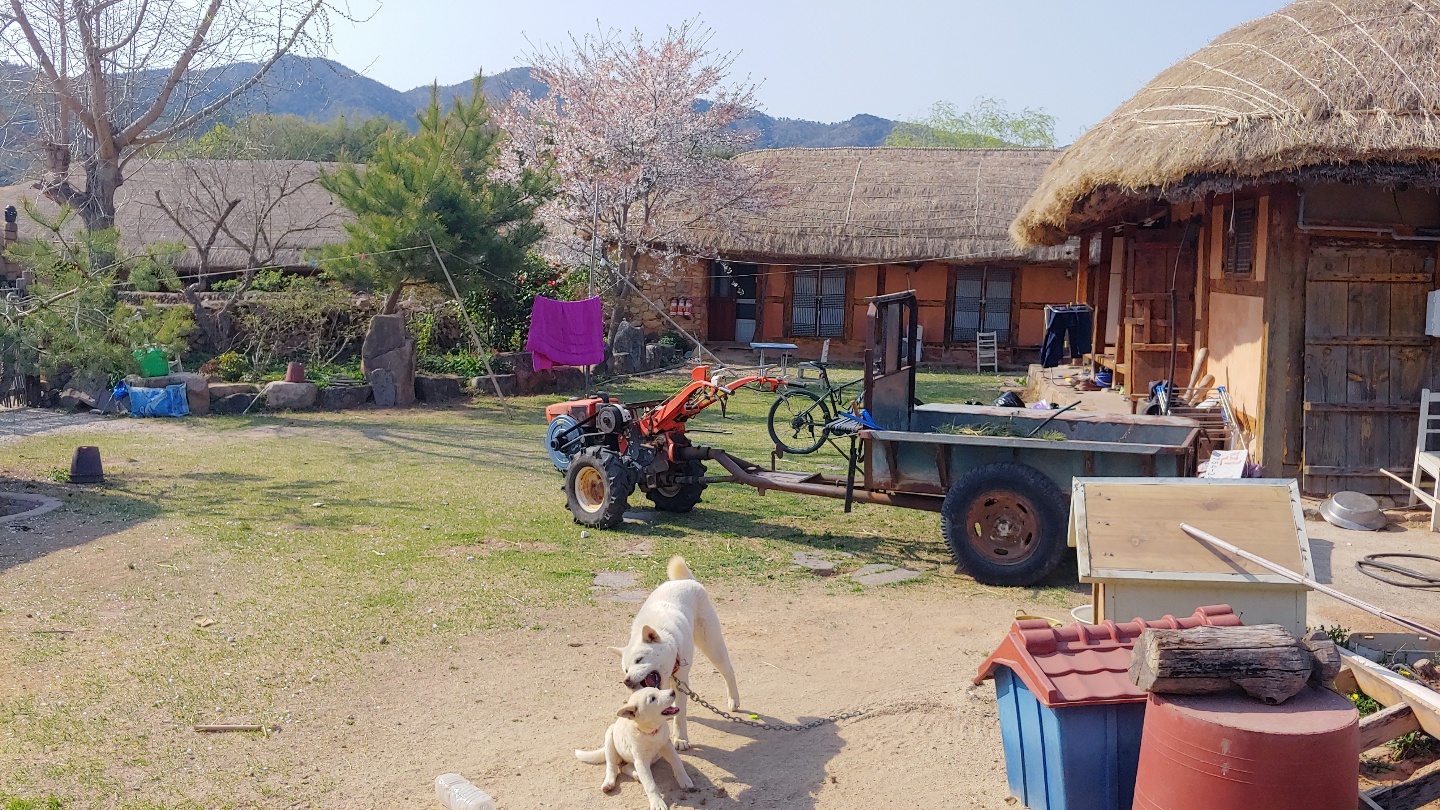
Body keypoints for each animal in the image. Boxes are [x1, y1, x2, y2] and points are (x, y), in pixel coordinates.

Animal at [610, 556, 740, 750]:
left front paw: (680, 739)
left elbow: (680, 713)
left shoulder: (681, 681)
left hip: (712, 646)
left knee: (729, 672)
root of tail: (687, 581)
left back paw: (734, 700)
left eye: (639, 660)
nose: (626, 681)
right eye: (625, 670)